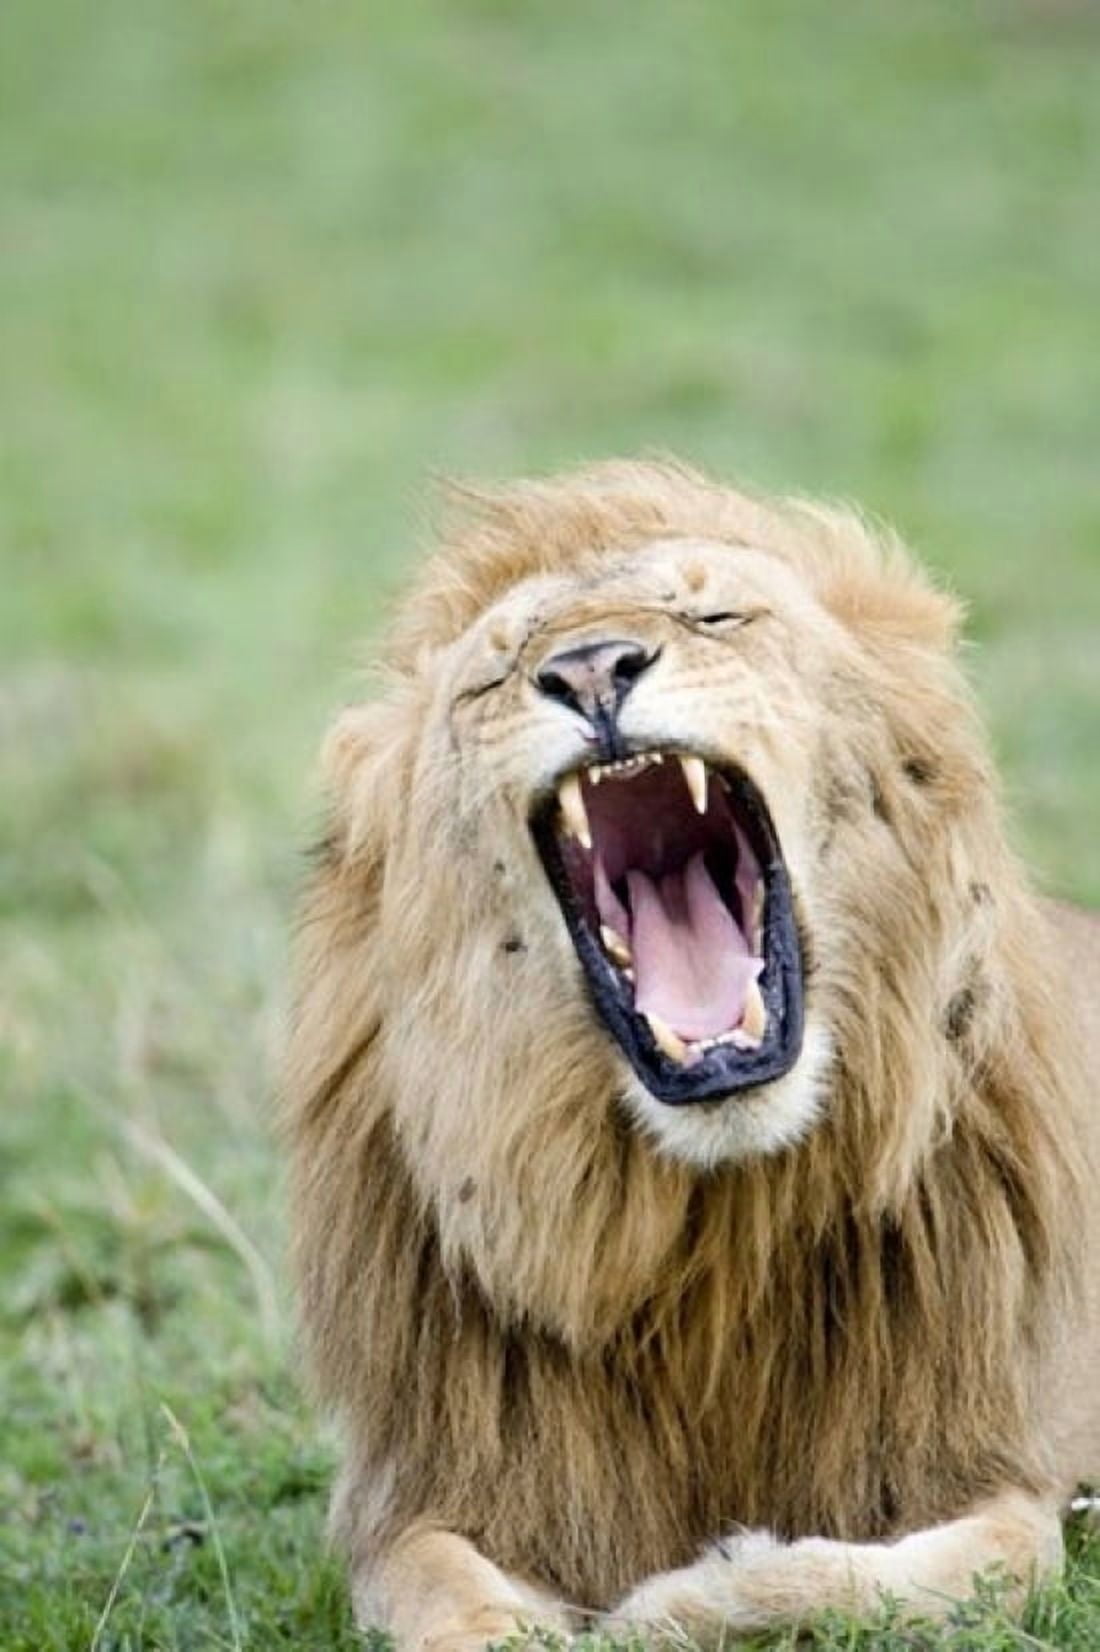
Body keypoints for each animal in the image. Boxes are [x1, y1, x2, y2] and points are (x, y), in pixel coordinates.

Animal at [283, 460, 1100, 1648]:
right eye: (493, 678)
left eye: (715, 617)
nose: (589, 669)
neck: (708, 1232)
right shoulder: (421, 1492)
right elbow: (447, 1597)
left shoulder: (1008, 1475)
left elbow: (916, 1571)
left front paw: (674, 1604)